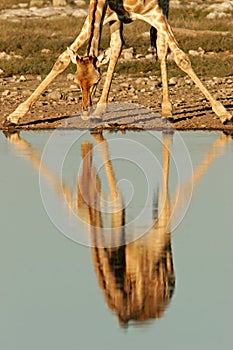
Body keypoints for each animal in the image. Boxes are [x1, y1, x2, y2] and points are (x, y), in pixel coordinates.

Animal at [3, 0, 231, 128]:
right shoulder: (104, 16)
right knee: (117, 47)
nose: (84, 111)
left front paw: (223, 113)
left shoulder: (156, 13)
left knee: (162, 47)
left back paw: (167, 110)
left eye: (96, 82)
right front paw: (14, 116)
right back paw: (100, 110)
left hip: (162, 9)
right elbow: (62, 59)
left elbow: (182, 58)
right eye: (76, 82)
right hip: (116, 20)